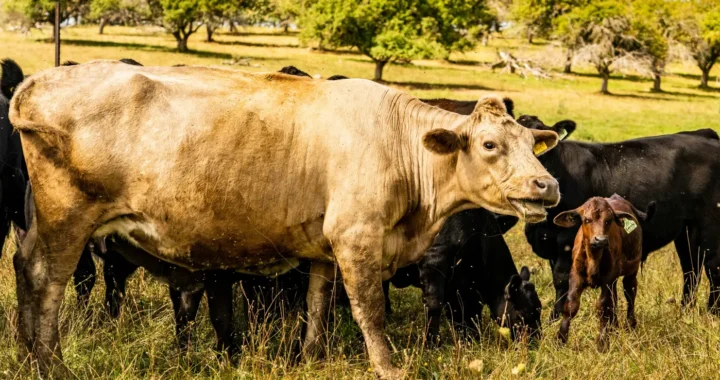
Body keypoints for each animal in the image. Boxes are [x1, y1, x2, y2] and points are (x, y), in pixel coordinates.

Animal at [388, 209, 540, 342]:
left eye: (539, 308)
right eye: (523, 314)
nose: (535, 341)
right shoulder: (433, 262)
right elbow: (434, 305)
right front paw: (431, 342)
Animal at [516, 118, 720, 318]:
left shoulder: (567, 240)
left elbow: (561, 279)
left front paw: (556, 317)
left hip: (710, 226)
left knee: (713, 267)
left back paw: (712, 313)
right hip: (687, 230)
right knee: (691, 268)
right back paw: (685, 312)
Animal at [552, 194, 652, 352]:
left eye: (609, 220)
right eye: (587, 220)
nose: (600, 240)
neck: (594, 257)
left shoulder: (607, 279)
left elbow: (603, 306)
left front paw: (602, 342)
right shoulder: (576, 275)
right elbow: (571, 305)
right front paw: (560, 340)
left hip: (631, 270)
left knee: (630, 294)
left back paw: (630, 325)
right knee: (615, 299)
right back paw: (614, 327)